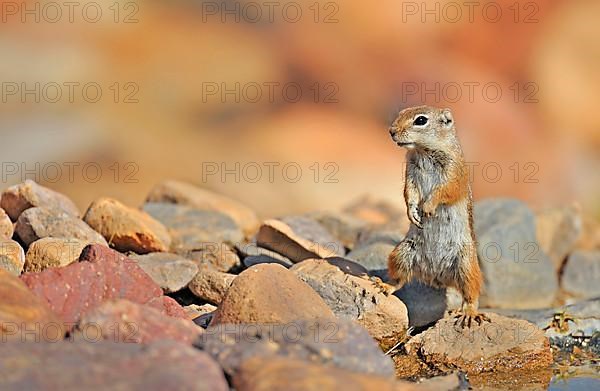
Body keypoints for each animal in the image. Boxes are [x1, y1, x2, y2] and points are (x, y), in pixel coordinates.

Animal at [386, 105, 490, 330]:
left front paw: (427, 207)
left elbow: (444, 191)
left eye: (421, 120)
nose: (391, 131)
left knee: (471, 294)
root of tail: (437, 277)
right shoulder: (410, 172)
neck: (423, 151)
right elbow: (410, 192)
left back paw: (468, 313)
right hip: (402, 253)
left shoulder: (454, 173)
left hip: (466, 265)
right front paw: (412, 213)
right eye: (400, 113)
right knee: (400, 279)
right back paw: (384, 286)